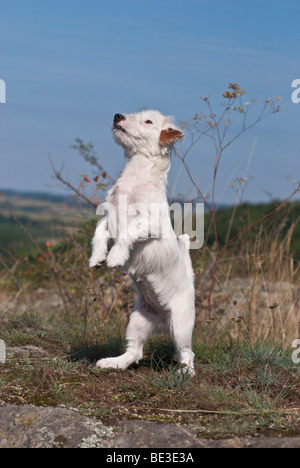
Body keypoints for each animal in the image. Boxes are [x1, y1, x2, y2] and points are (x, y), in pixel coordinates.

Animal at [88, 110, 197, 376]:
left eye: (148, 121)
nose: (118, 115)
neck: (136, 175)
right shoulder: (109, 217)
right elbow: (99, 232)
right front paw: (97, 257)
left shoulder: (149, 222)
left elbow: (128, 232)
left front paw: (115, 256)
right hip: (136, 321)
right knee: (135, 352)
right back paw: (113, 362)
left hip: (180, 324)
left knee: (187, 353)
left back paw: (185, 373)